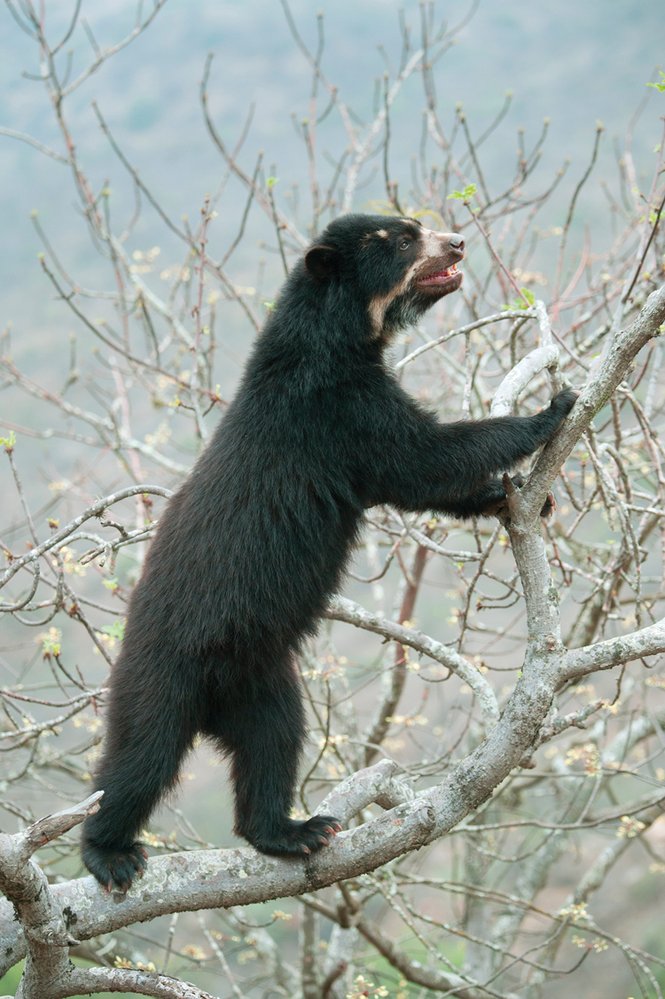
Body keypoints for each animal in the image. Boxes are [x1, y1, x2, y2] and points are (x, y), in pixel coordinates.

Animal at [80, 213, 572, 892]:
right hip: (163, 670)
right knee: (138, 757)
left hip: (266, 683)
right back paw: (110, 853)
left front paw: (519, 498)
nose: (458, 242)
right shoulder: (336, 409)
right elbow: (422, 454)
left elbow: (417, 483)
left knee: (273, 748)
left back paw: (293, 830)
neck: (335, 340)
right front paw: (552, 409)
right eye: (402, 239)